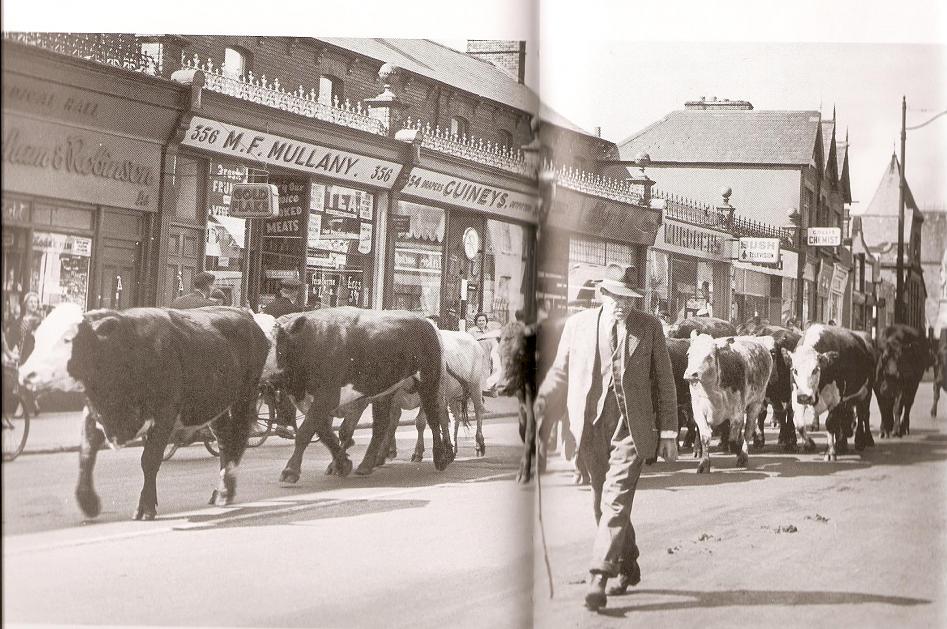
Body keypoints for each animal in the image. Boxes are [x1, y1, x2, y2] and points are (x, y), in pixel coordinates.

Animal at [19, 304, 270, 520]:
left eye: (67, 339)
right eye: (38, 338)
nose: (26, 373)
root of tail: (244, 314)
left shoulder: (164, 413)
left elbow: (149, 460)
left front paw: (146, 507)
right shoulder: (94, 412)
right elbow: (86, 455)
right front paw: (88, 502)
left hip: (245, 395)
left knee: (239, 437)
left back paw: (227, 490)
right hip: (214, 403)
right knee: (225, 440)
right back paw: (220, 491)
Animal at [684, 334, 772, 472]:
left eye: (709, 356)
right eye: (689, 354)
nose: (690, 374)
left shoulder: (737, 413)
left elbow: (733, 438)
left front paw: (738, 450)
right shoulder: (698, 410)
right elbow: (705, 437)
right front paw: (704, 463)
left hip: (756, 403)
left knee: (748, 431)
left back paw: (743, 456)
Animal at [784, 324, 872, 462]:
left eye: (815, 369)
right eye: (795, 370)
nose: (804, 397)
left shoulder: (835, 400)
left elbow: (830, 423)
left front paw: (830, 452)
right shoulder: (796, 397)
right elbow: (800, 425)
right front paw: (810, 444)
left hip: (866, 392)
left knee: (864, 414)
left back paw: (862, 441)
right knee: (845, 417)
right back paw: (842, 444)